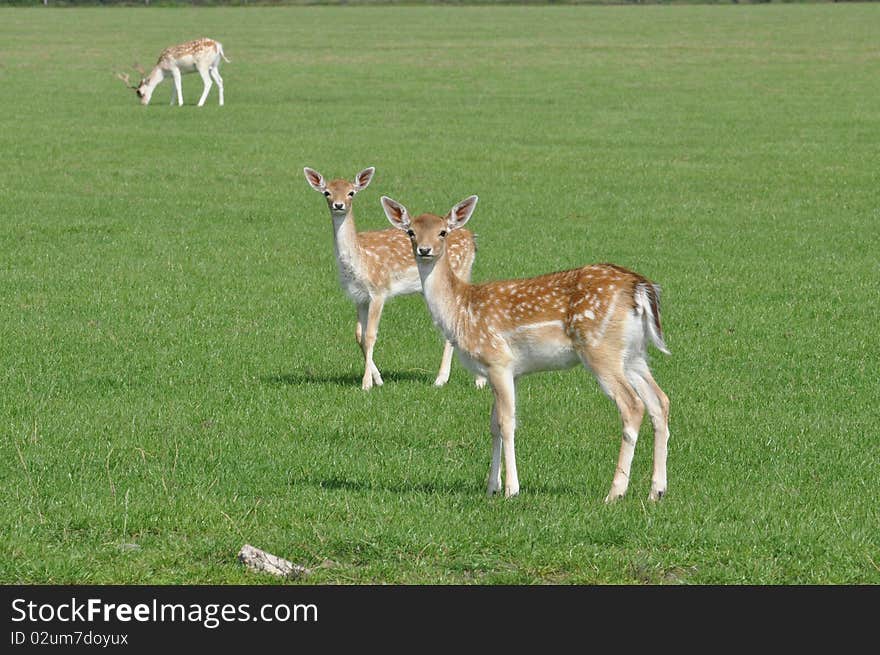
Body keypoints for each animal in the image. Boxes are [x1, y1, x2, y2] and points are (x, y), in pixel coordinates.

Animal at [304, 169, 488, 392]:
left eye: (351, 193)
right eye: (327, 192)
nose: (338, 205)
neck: (360, 260)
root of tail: (472, 238)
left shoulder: (378, 289)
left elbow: (371, 335)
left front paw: (367, 384)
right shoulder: (358, 296)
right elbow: (359, 335)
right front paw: (378, 379)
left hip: (461, 271)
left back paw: (451, 379)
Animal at [382, 195, 672, 502]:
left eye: (443, 232)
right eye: (411, 231)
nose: (424, 250)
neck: (461, 311)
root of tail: (640, 288)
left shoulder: (497, 359)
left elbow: (508, 423)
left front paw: (512, 489)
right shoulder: (510, 371)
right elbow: (493, 424)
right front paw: (491, 487)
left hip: (600, 349)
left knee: (632, 405)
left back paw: (615, 492)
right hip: (634, 354)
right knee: (659, 401)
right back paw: (657, 491)